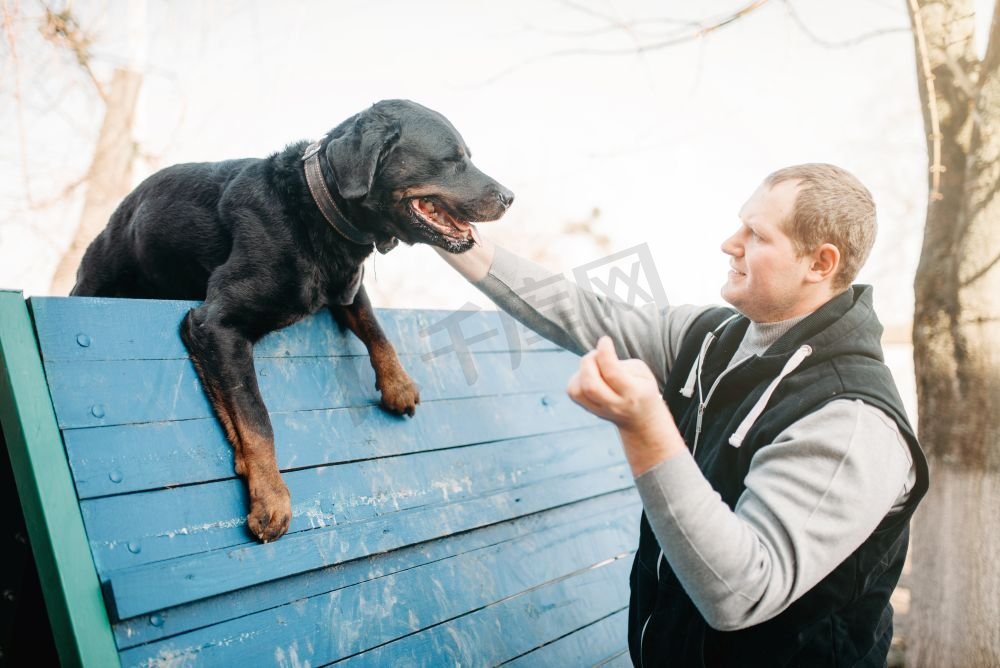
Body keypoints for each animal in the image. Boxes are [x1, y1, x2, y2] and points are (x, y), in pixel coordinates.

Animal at [72, 102, 516, 544]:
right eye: (453, 160)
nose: (510, 196)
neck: (315, 211)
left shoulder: (347, 287)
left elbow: (374, 327)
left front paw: (398, 385)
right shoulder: (217, 323)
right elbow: (255, 417)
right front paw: (271, 498)